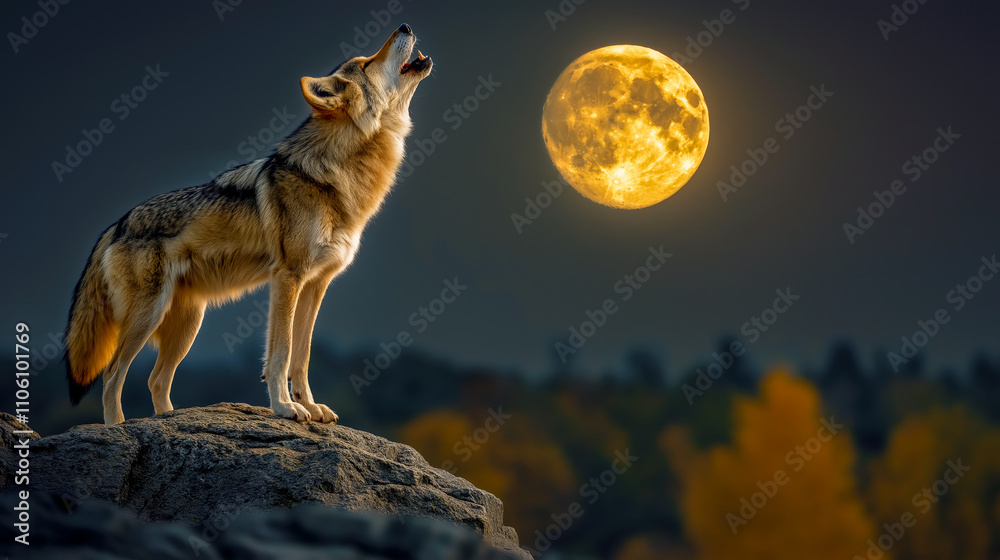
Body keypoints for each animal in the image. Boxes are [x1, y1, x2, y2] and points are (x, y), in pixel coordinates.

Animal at [64, 24, 433, 425]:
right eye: (366, 63)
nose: (405, 26)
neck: (338, 176)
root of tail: (117, 224)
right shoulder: (287, 278)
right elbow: (281, 354)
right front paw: (285, 408)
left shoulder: (316, 284)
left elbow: (301, 357)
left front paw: (309, 406)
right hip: (148, 317)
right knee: (113, 374)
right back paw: (118, 426)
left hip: (187, 325)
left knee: (155, 380)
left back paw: (169, 419)